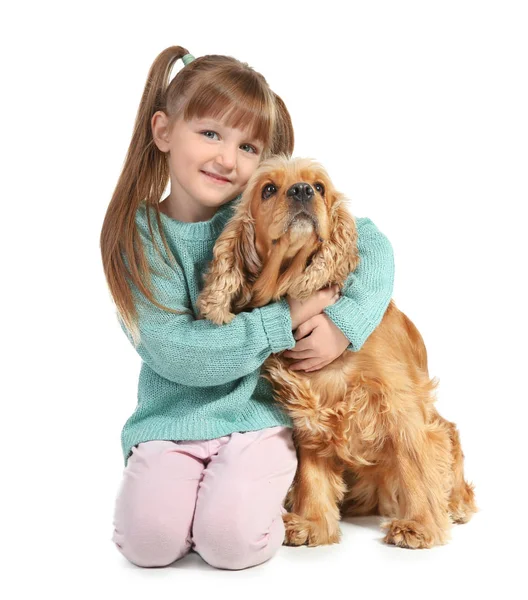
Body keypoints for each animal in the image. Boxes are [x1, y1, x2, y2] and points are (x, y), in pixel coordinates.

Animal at [196, 155, 476, 548]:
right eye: (268, 189)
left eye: (319, 187)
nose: (301, 191)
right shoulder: (307, 410)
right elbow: (312, 473)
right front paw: (311, 523)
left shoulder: (400, 401)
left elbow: (414, 462)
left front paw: (419, 526)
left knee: (449, 440)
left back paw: (455, 503)